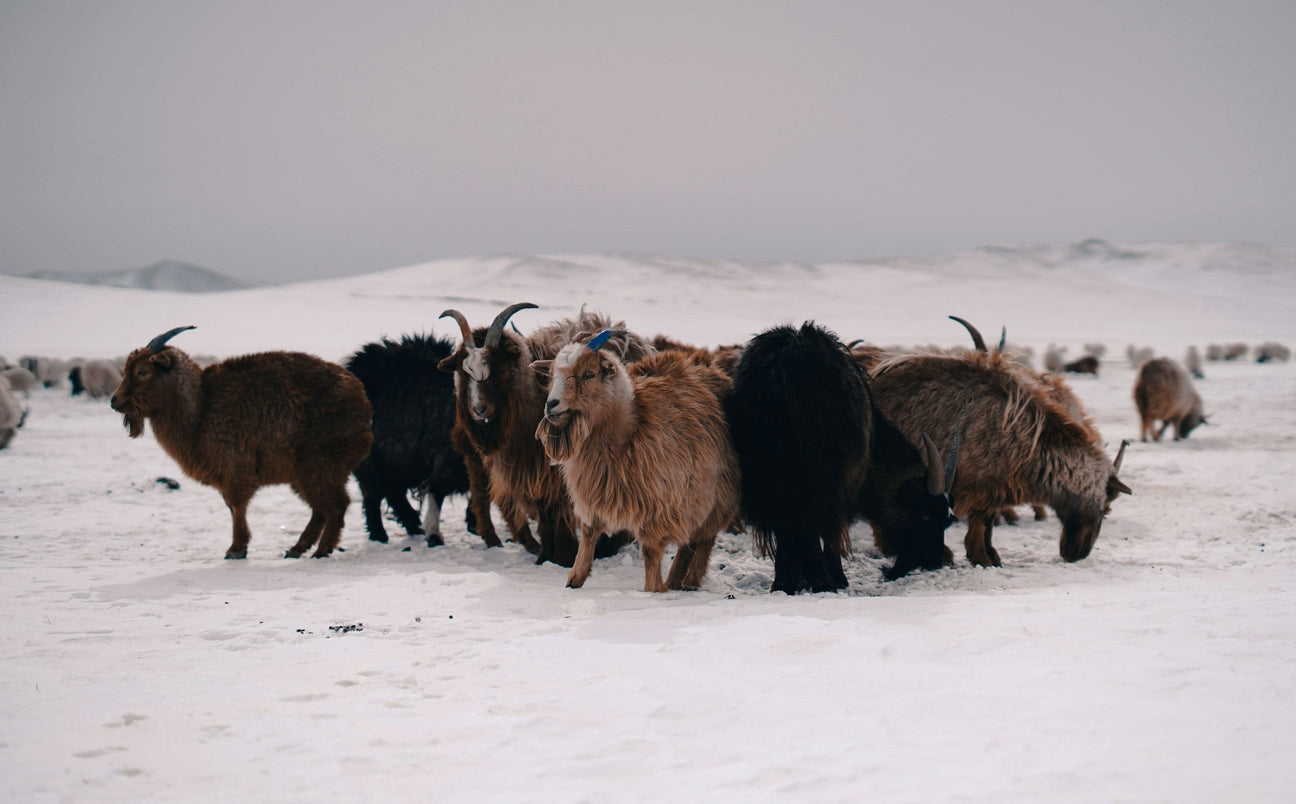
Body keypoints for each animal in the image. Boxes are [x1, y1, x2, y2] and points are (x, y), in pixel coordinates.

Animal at [110, 326, 373, 559]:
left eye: (143, 371)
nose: (115, 400)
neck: (200, 407)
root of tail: (362, 402)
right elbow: (233, 506)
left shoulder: (235, 467)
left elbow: (236, 506)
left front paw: (236, 549)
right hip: (305, 473)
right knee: (322, 508)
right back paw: (298, 548)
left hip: (319, 463)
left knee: (337, 505)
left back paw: (321, 550)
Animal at [344, 333, 497, 549]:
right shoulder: (449, 460)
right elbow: (438, 489)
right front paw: (436, 535)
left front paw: (474, 523)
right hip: (371, 460)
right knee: (373, 494)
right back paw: (381, 535)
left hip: (399, 461)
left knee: (393, 491)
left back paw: (413, 525)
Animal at [438, 304, 652, 567]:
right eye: (463, 372)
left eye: (500, 369)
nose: (479, 409)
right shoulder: (534, 478)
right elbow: (545, 514)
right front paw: (546, 556)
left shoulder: (557, 475)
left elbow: (560, 511)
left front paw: (564, 555)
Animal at [535, 332, 739, 592]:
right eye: (552, 376)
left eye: (588, 374)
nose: (551, 405)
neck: (629, 430)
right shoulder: (592, 493)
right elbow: (589, 536)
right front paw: (575, 579)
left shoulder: (659, 505)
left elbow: (650, 551)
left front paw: (654, 589)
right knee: (690, 541)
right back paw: (676, 580)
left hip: (715, 497)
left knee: (703, 539)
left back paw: (690, 580)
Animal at [869, 317, 1131, 567]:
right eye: (1106, 508)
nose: (1078, 553)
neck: (1033, 443)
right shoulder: (976, 488)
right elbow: (977, 530)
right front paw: (977, 558)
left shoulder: (993, 490)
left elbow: (985, 528)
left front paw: (990, 557)